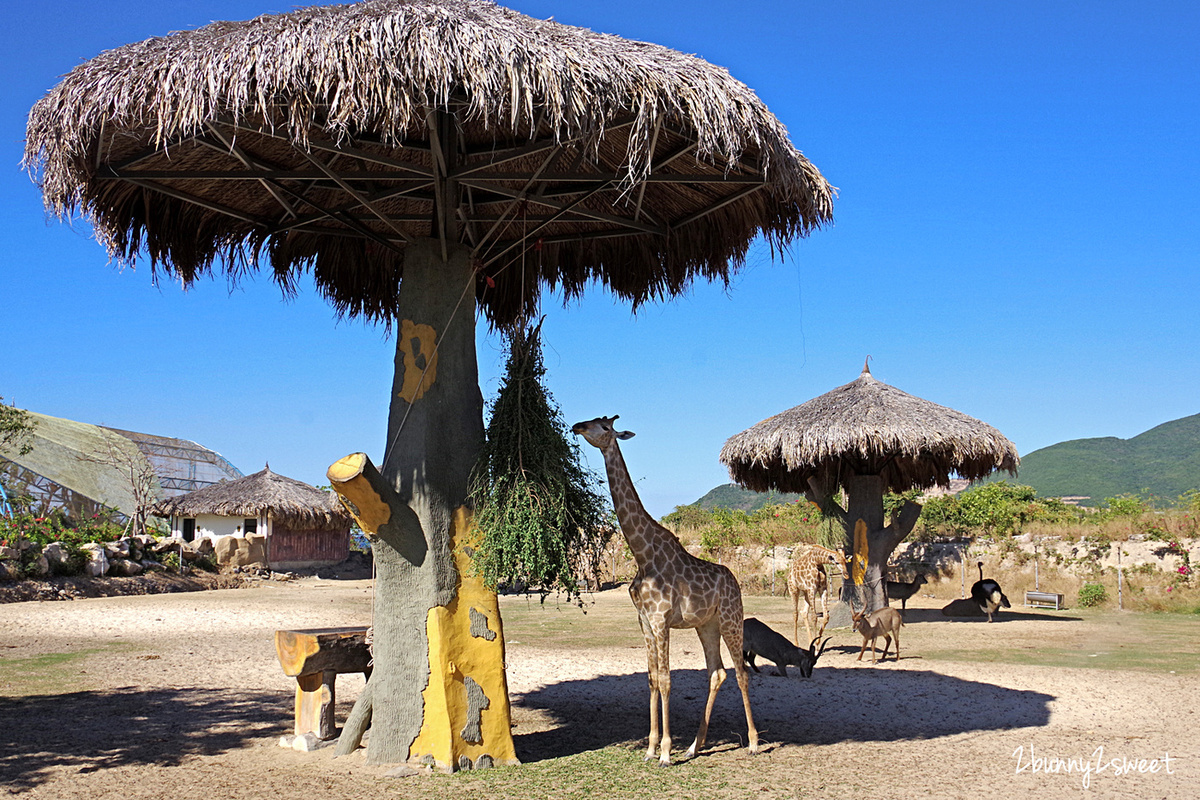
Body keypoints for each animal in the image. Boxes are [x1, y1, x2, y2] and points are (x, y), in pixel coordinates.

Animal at [573, 417, 758, 767]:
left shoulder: (661, 620)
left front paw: (665, 752)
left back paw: (754, 743)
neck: (643, 554)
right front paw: (651, 748)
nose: (577, 426)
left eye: (603, 426)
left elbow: (666, 678)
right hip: (707, 625)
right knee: (717, 673)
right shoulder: (644, 620)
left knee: (741, 671)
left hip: (731, 618)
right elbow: (652, 678)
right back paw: (694, 747)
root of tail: (735, 581)